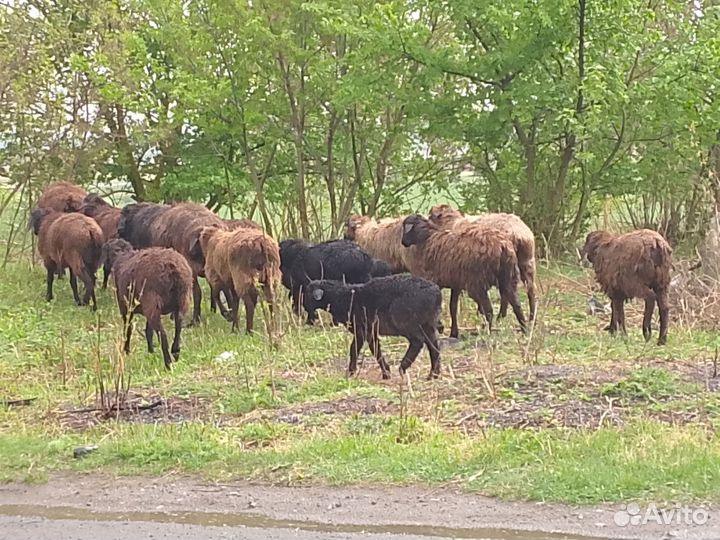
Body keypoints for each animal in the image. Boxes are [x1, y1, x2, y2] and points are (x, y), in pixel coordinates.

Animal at [102, 239, 193, 369]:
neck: (121, 257)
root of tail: (172, 268)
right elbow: (148, 330)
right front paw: (150, 351)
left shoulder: (126, 307)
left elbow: (128, 328)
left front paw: (126, 350)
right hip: (182, 299)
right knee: (179, 325)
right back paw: (175, 351)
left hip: (152, 302)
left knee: (162, 334)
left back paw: (168, 363)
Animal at [304, 275, 442, 379]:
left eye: (308, 294)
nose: (303, 307)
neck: (344, 298)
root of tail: (437, 294)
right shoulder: (369, 331)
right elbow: (370, 349)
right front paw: (385, 372)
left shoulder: (362, 329)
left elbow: (359, 349)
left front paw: (352, 373)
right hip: (428, 324)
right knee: (434, 346)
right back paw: (433, 374)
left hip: (406, 321)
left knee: (417, 342)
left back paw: (403, 367)